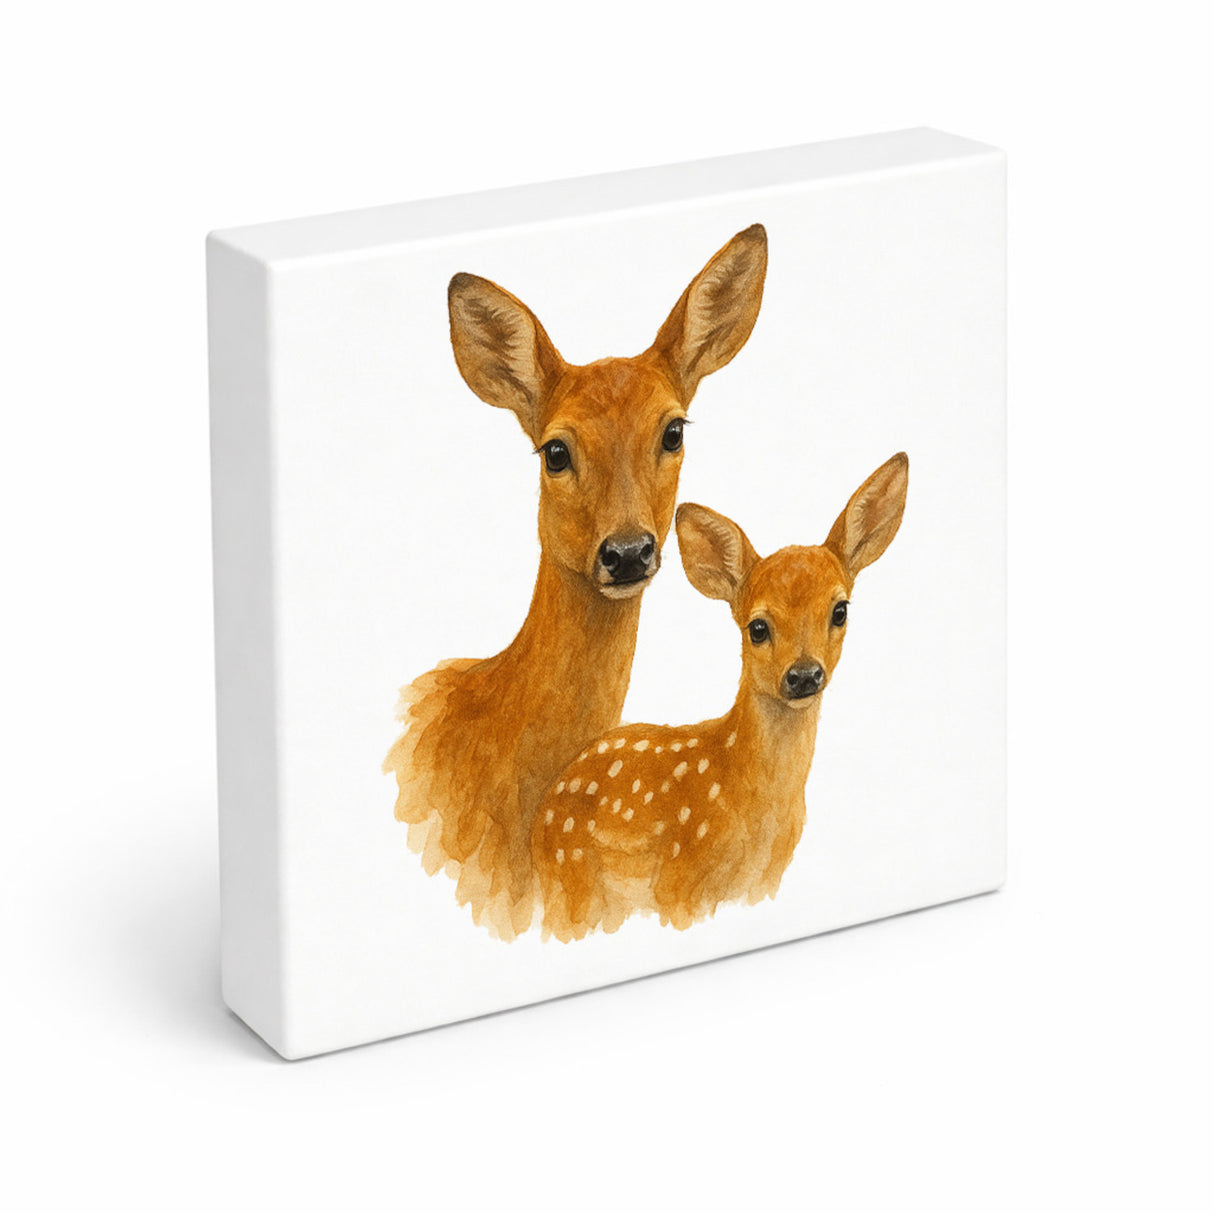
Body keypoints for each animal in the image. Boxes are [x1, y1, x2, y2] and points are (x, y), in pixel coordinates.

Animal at [531, 452, 909, 942]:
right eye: (758, 627)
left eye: (839, 610)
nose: (804, 674)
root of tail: (540, 817)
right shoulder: (679, 884)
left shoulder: (765, 884)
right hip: (572, 883)